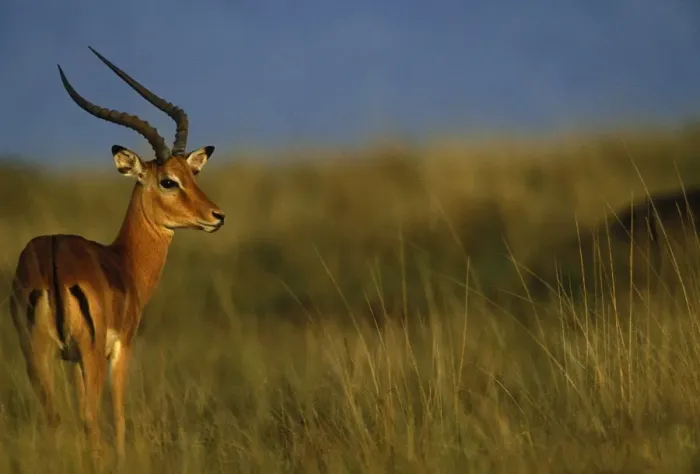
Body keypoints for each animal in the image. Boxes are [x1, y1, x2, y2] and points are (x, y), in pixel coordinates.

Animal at [9, 47, 225, 457]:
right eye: (168, 181)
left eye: (193, 175)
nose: (216, 216)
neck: (123, 261)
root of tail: (52, 261)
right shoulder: (120, 349)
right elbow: (120, 417)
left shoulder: (69, 359)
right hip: (89, 354)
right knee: (91, 420)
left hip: (37, 354)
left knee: (54, 418)